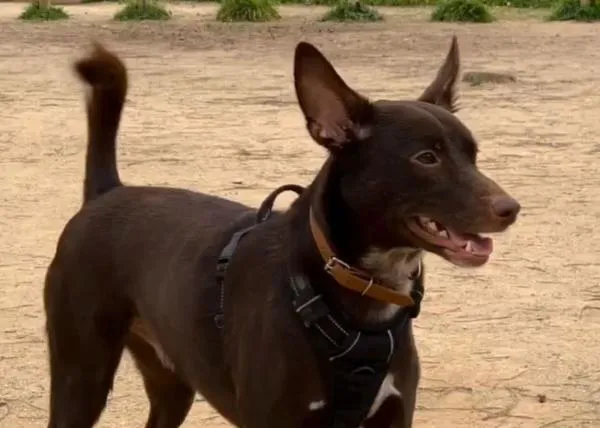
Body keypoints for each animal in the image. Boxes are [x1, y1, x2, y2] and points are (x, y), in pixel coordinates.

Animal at [43, 37, 520, 428]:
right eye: (426, 158)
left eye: (473, 155)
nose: (511, 209)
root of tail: (108, 191)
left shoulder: (394, 415)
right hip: (80, 376)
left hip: (171, 382)